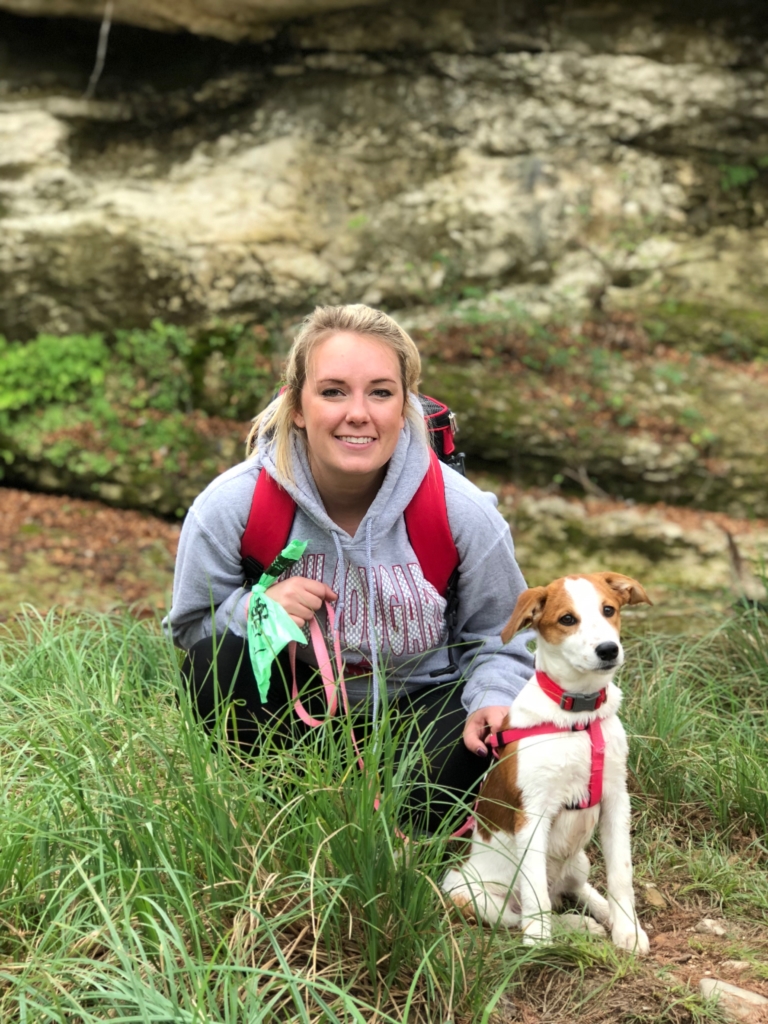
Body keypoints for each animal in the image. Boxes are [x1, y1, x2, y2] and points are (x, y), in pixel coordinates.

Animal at [442, 573, 651, 954]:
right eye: (567, 619)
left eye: (609, 610)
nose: (608, 650)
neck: (579, 716)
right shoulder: (532, 814)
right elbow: (535, 890)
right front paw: (539, 943)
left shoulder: (616, 800)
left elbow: (621, 874)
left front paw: (628, 929)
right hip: (471, 897)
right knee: (524, 912)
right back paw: (570, 927)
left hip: (579, 858)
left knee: (572, 889)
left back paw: (601, 915)